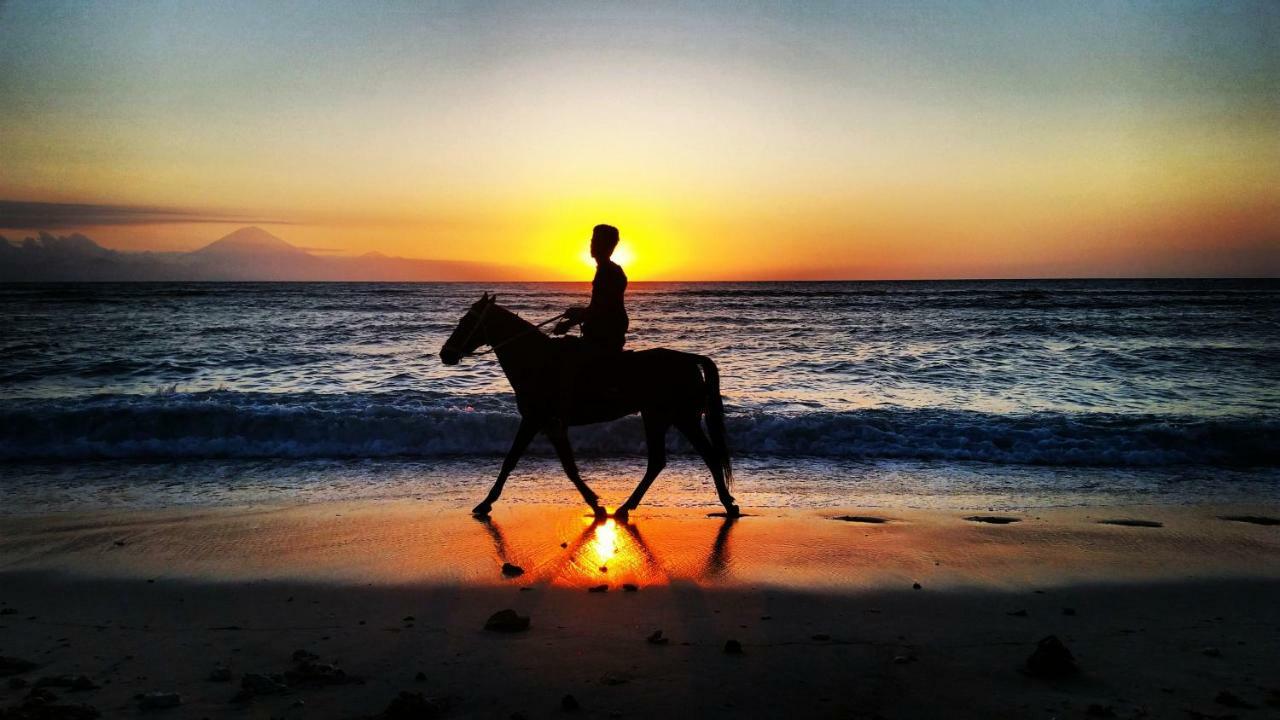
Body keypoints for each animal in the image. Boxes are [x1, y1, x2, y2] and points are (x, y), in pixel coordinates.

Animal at [442, 288, 737, 517]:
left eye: (466, 321)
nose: (446, 353)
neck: (537, 362)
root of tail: (689, 359)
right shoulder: (548, 424)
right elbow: (562, 465)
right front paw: (596, 504)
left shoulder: (536, 420)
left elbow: (518, 461)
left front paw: (485, 503)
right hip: (662, 417)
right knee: (663, 461)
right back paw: (627, 507)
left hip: (677, 417)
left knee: (703, 456)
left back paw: (726, 505)